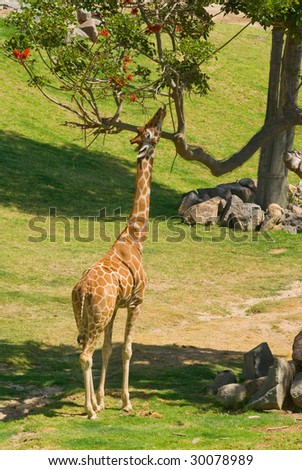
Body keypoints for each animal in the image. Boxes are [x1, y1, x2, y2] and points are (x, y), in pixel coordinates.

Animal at [72, 106, 166, 418]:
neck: (136, 237)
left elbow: (108, 349)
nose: (161, 111)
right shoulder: (136, 302)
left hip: (85, 315)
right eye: (151, 132)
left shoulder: (115, 308)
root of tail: (82, 290)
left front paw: (103, 398)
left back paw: (93, 405)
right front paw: (125, 401)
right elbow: (126, 349)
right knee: (84, 354)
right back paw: (90, 410)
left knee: (87, 350)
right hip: (98, 315)